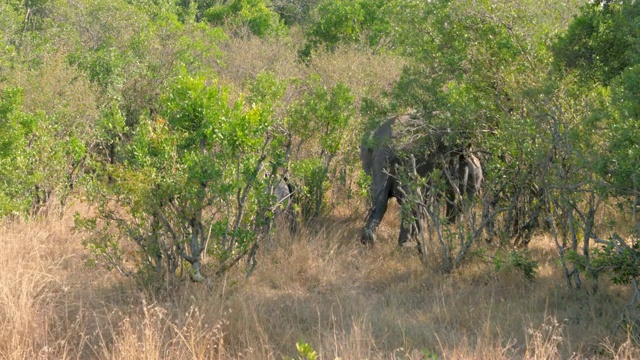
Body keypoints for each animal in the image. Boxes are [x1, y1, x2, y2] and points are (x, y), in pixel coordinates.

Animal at [360, 114, 480, 246]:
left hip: (370, 160)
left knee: (378, 199)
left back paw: (367, 241)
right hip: (405, 159)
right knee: (407, 199)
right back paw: (406, 244)